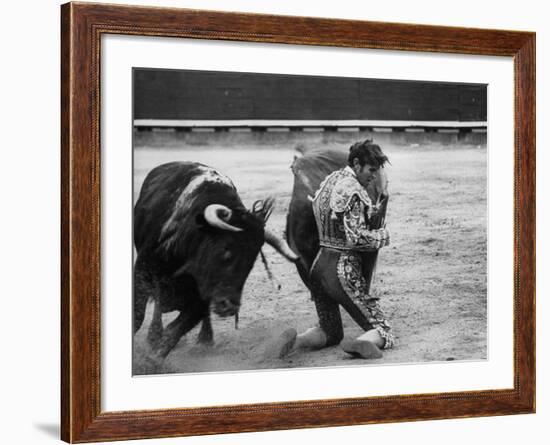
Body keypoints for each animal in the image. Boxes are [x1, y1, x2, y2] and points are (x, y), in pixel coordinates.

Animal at [134, 161, 298, 360]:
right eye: (226, 250)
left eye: (251, 262)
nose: (229, 307)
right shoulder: (142, 272)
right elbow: (139, 316)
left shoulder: (201, 298)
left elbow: (174, 333)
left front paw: (152, 360)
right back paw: (154, 335)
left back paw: (205, 339)